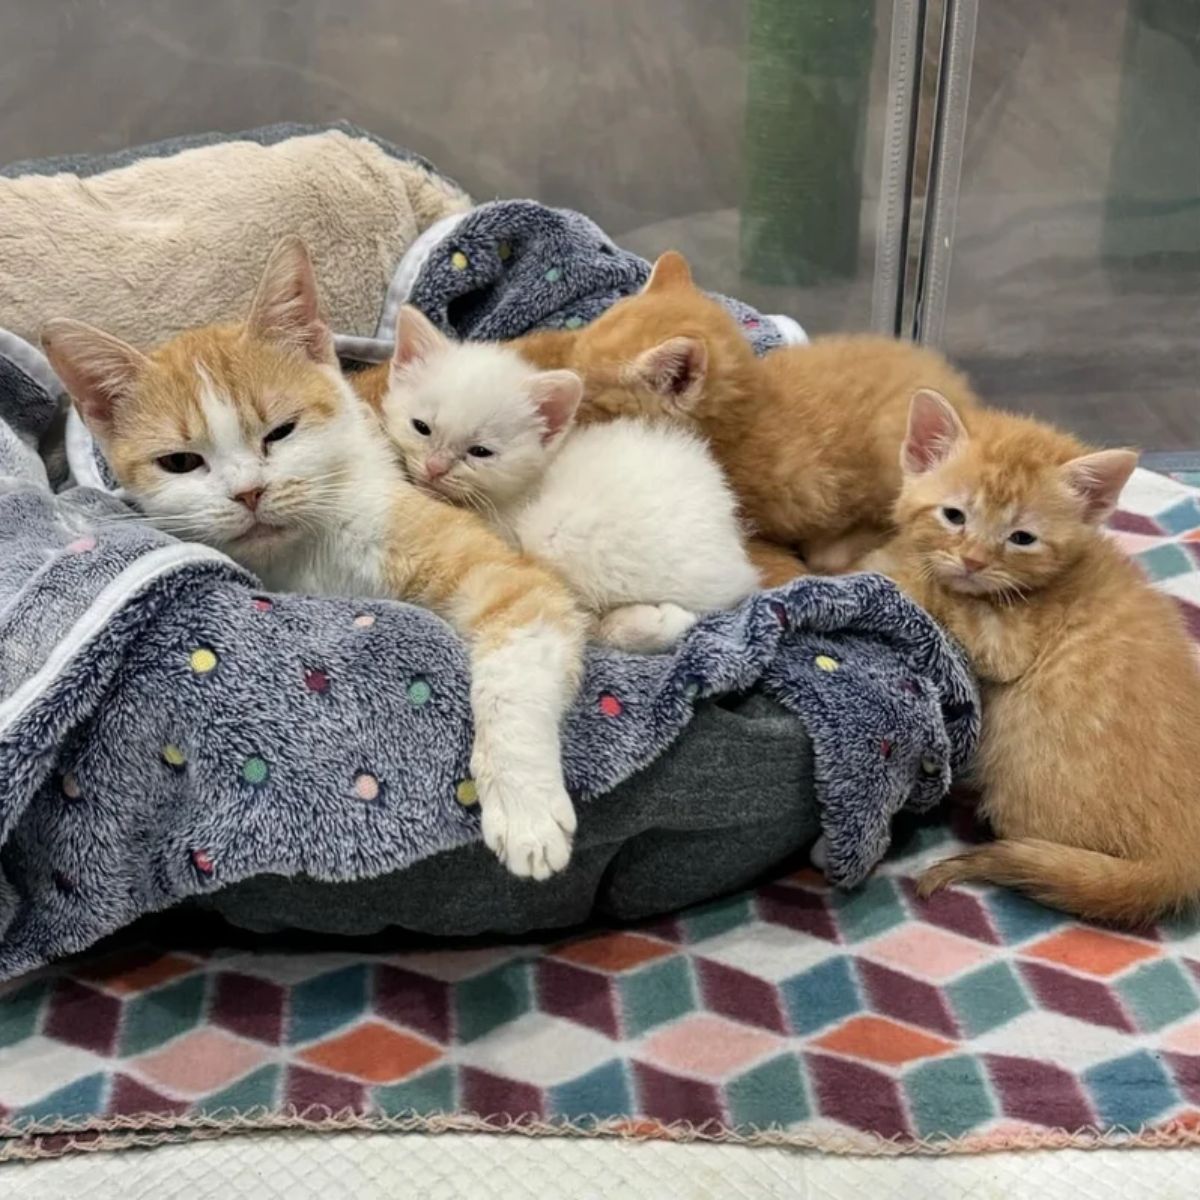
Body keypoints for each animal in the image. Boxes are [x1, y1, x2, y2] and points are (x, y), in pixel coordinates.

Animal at [44, 238, 588, 888]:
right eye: (180, 462)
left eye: (281, 431)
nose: (249, 492)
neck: (307, 549)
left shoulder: (500, 574)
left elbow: (517, 659)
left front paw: (524, 805)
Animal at [868, 388, 1200, 921]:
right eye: (954, 515)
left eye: (1021, 538)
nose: (973, 560)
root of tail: (1179, 863)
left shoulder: (1007, 641)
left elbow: (940, 592)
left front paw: (887, 569)